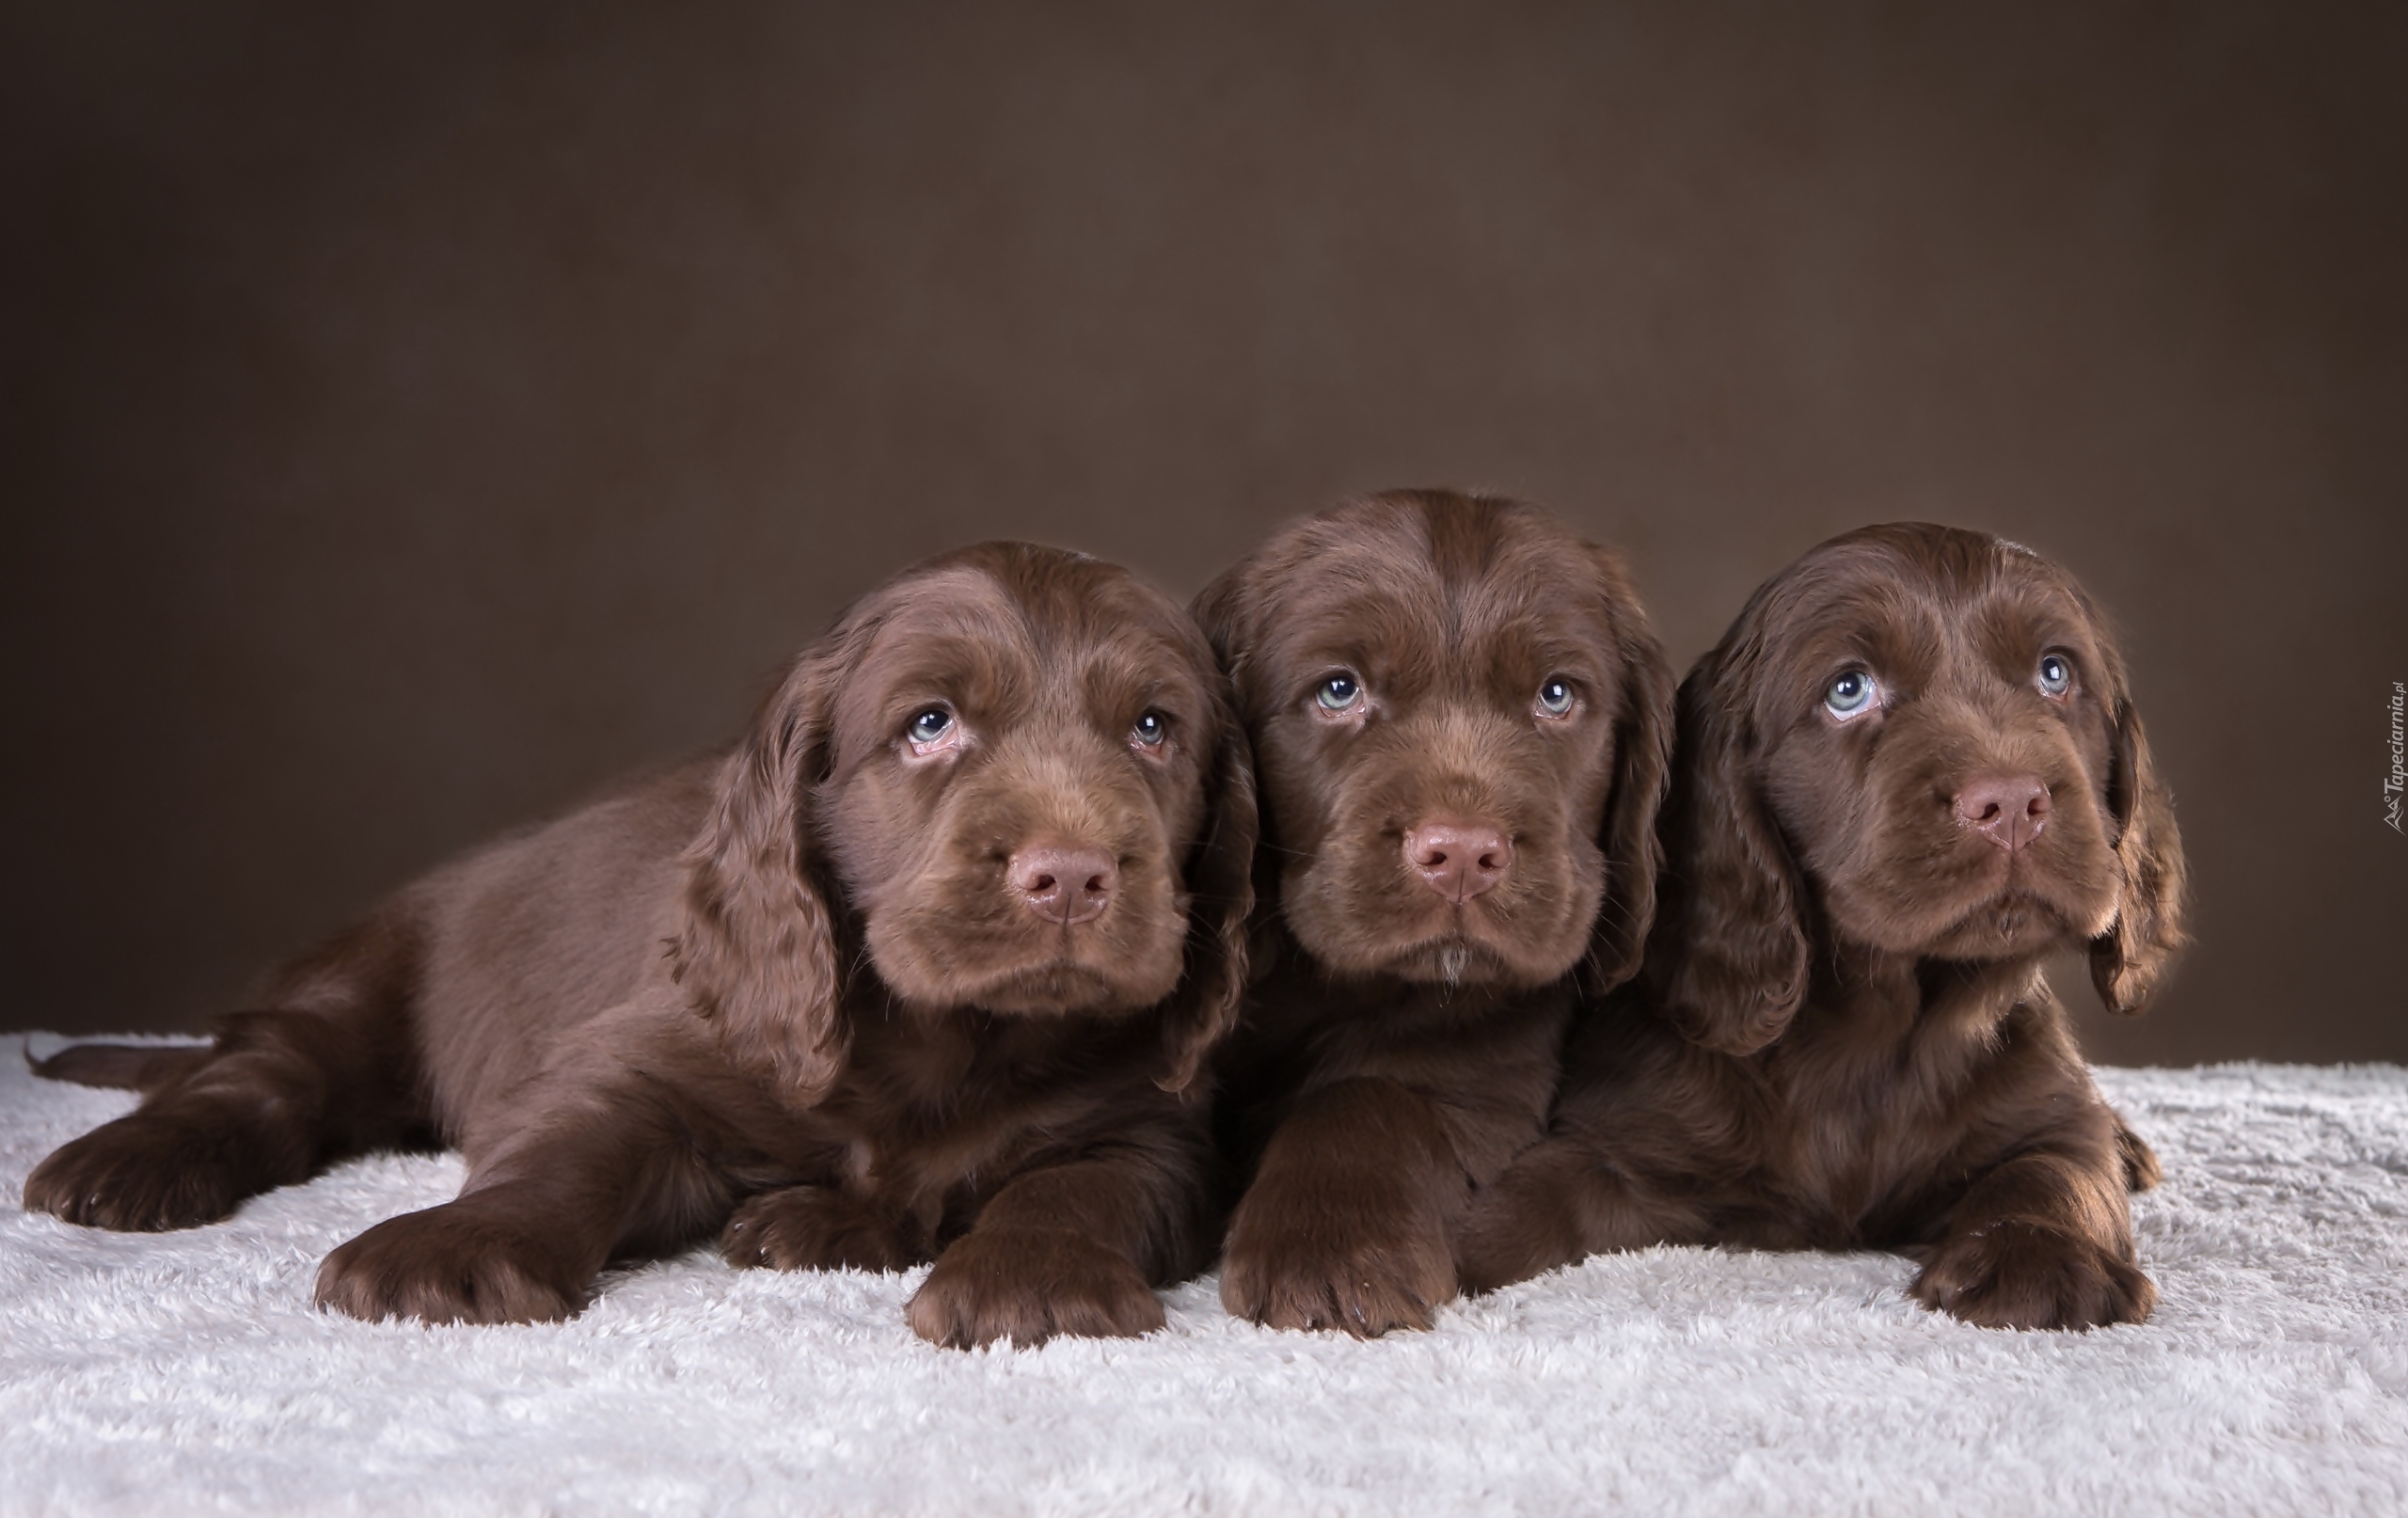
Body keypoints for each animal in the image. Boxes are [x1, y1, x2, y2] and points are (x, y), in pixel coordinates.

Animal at [23, 546, 1261, 1358]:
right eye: (929, 724)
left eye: (1154, 729)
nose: (1072, 876)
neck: (949, 1042)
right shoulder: (652, 1055)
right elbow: (570, 1149)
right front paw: (450, 1250)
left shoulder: (1152, 1125)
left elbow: (1080, 1185)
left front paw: (1028, 1281)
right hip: (364, 985)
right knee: (261, 1076)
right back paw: (123, 1165)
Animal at [1198, 494, 1675, 1339]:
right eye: (1339, 690)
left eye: (1557, 696)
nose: (1460, 855)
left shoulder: (1485, 1075)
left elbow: (1368, 1093)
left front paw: (1329, 1256)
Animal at [1454, 522, 2195, 1330]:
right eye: (1850, 689)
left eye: (2055, 673)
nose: (2010, 803)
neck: (1879, 1032)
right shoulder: (1625, 1136)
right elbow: (1531, 1195)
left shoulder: (2043, 1108)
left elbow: (2060, 1167)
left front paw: (2037, 1256)